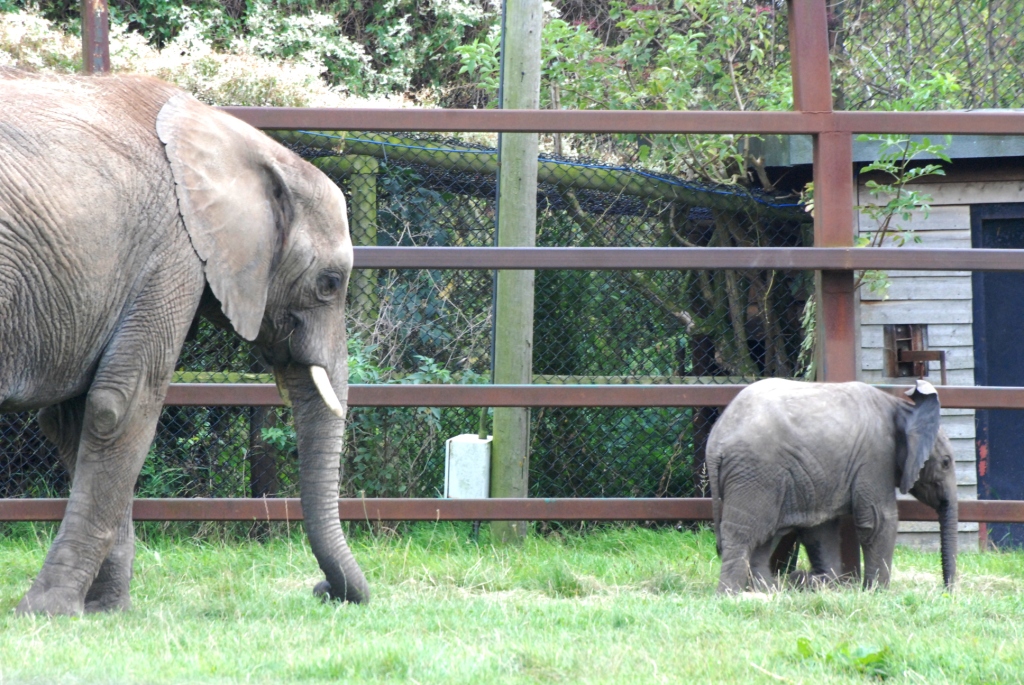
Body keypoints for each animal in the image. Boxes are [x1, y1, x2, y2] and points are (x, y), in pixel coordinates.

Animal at [0, 69, 369, 614]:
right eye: (328, 283)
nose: (323, 590)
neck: (241, 142)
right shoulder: (172, 249)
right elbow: (121, 407)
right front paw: (51, 611)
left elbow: (73, 417)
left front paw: (103, 610)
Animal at [707, 378, 957, 593]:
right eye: (946, 463)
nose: (948, 592)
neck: (901, 407)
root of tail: (716, 443)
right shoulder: (876, 456)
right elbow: (878, 521)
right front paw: (877, 592)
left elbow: (820, 530)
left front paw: (819, 583)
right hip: (756, 473)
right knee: (743, 533)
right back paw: (730, 595)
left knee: (762, 535)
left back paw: (769, 590)